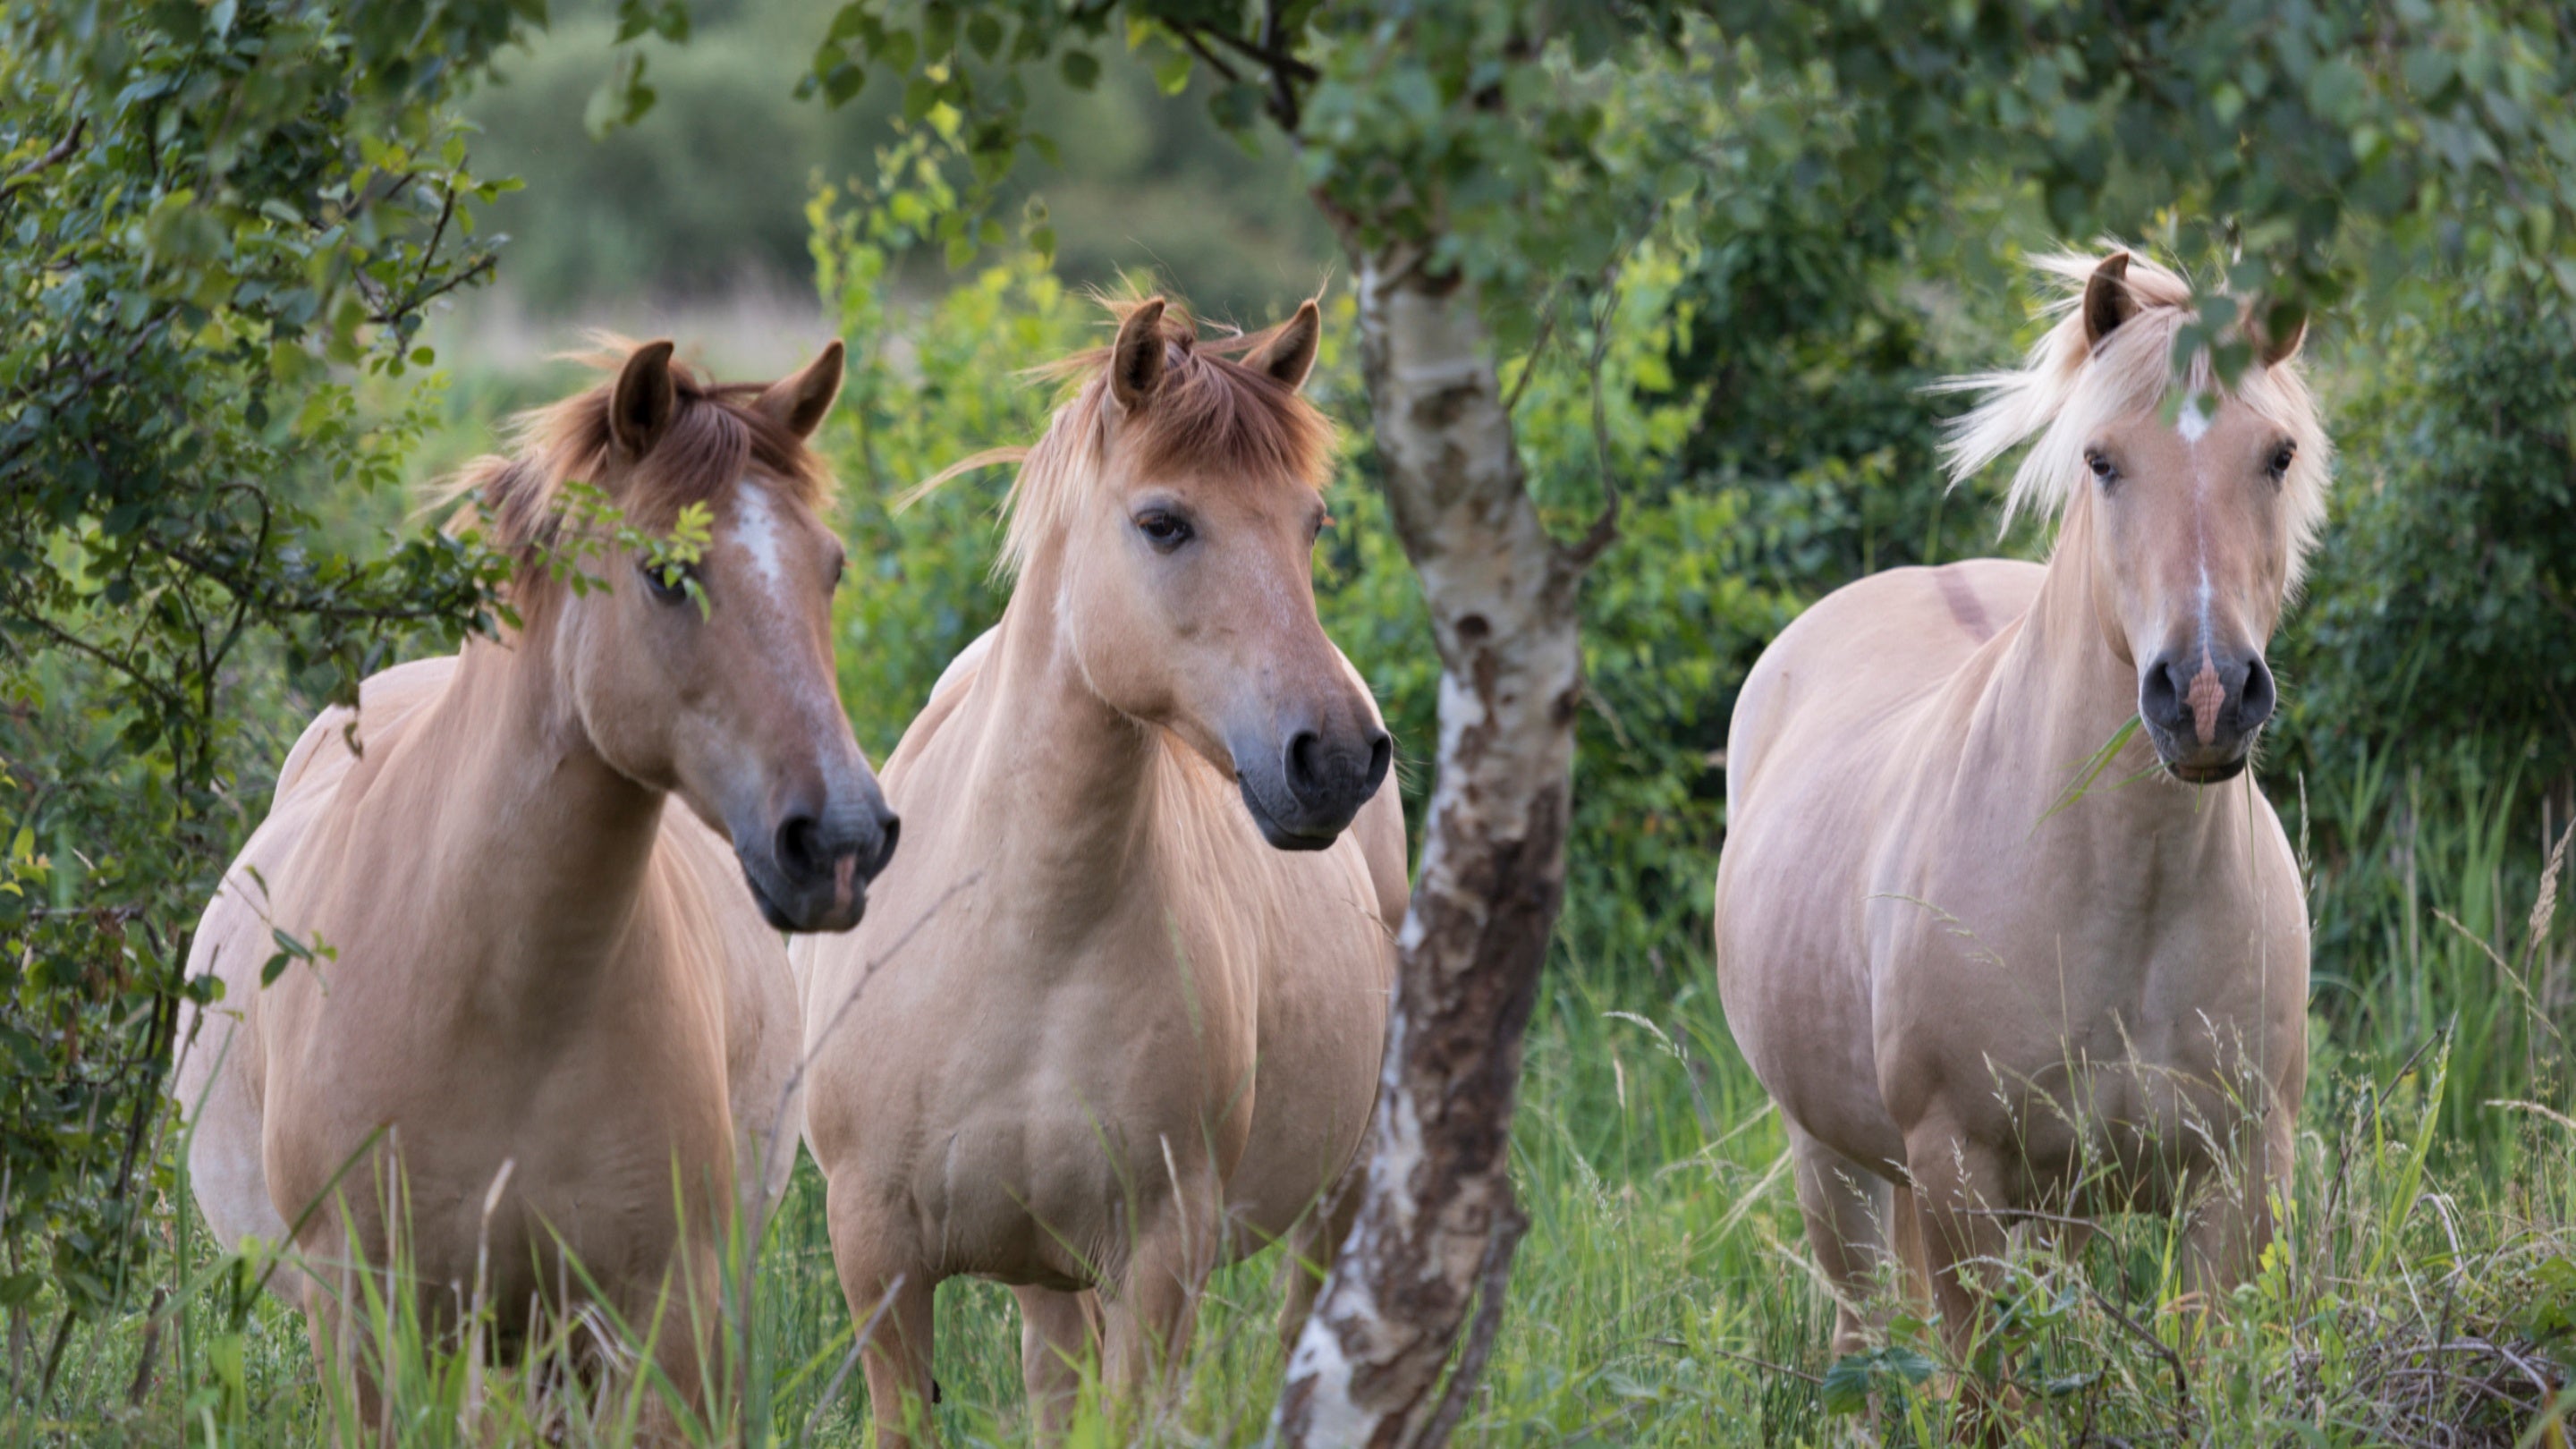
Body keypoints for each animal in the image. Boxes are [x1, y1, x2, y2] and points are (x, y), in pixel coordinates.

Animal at [172, 338, 897, 1426]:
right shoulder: (372, 1327)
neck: (502, 995)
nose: (843, 838)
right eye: (667, 575)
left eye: (833, 568)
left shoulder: (657, 1322)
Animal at [794, 295, 1406, 1446]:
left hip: (1335, 1196)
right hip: (1044, 1270)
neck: (1025, 936)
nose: (1340, 758)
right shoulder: (878, 1262)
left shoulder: (1161, 1262)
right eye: (1163, 523)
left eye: (1311, 523)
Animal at [1712, 250, 2325, 1392]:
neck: (2128, 895)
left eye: (2277, 454)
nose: (2207, 694)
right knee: (1866, 1341)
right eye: (2101, 459)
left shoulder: (2237, 1181)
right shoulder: (1960, 1176)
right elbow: (1986, 1397)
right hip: (1836, 1167)